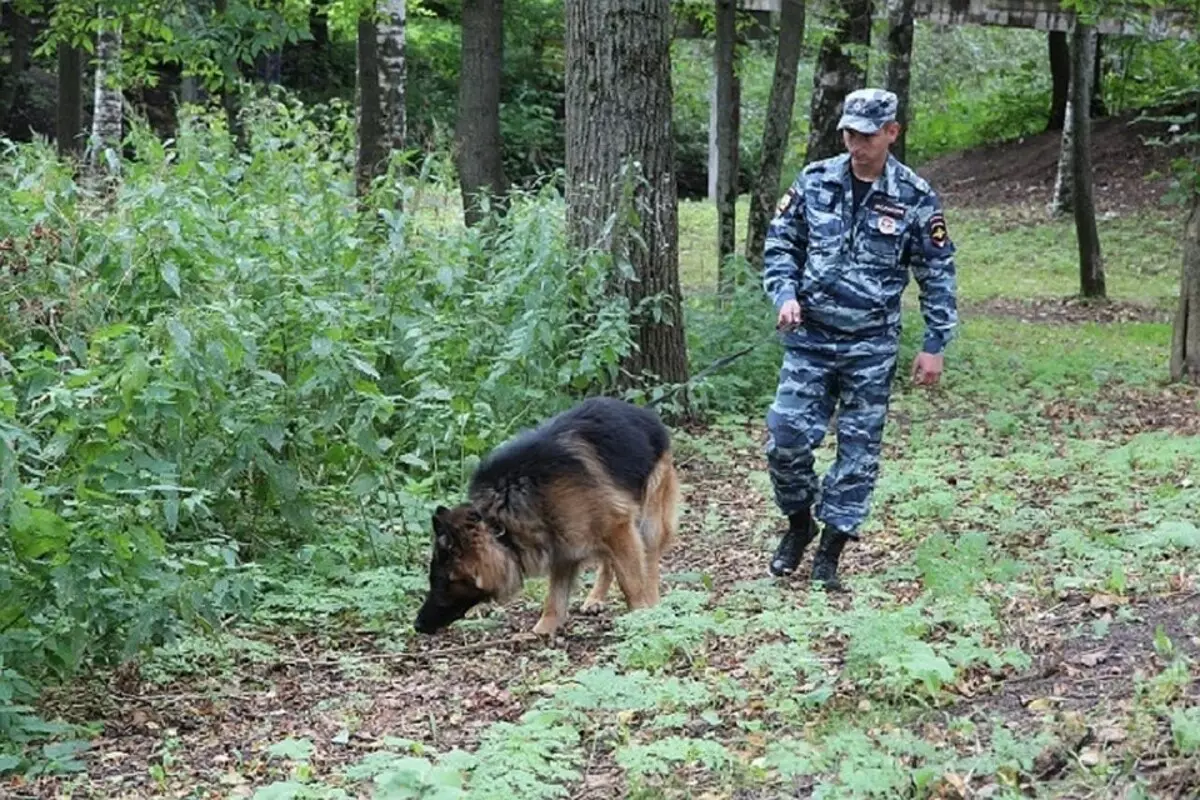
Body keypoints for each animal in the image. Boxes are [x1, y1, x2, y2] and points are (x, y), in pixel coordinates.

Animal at [412, 398, 676, 638]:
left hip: (648, 523)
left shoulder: (616, 530)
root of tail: (640, 411)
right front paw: (543, 629)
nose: (417, 625)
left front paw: (642, 616)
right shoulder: (563, 546)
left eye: (443, 582)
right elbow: (554, 598)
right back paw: (595, 598)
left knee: (649, 562)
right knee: (608, 562)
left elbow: (632, 583)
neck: (500, 521)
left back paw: (654, 603)